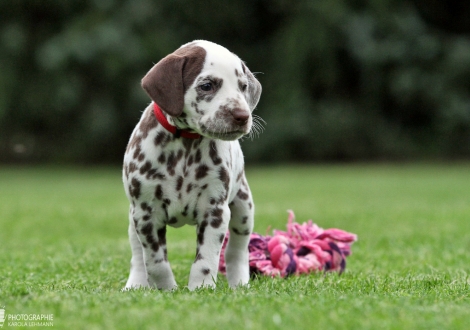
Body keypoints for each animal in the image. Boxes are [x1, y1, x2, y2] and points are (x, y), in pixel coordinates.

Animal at [122, 40, 260, 290]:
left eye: (243, 87)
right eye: (207, 85)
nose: (242, 116)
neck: (185, 147)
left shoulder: (214, 210)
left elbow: (206, 259)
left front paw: (201, 287)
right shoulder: (147, 213)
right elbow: (155, 261)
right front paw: (166, 289)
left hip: (243, 209)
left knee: (237, 250)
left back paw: (239, 284)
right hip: (132, 218)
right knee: (137, 255)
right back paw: (135, 284)